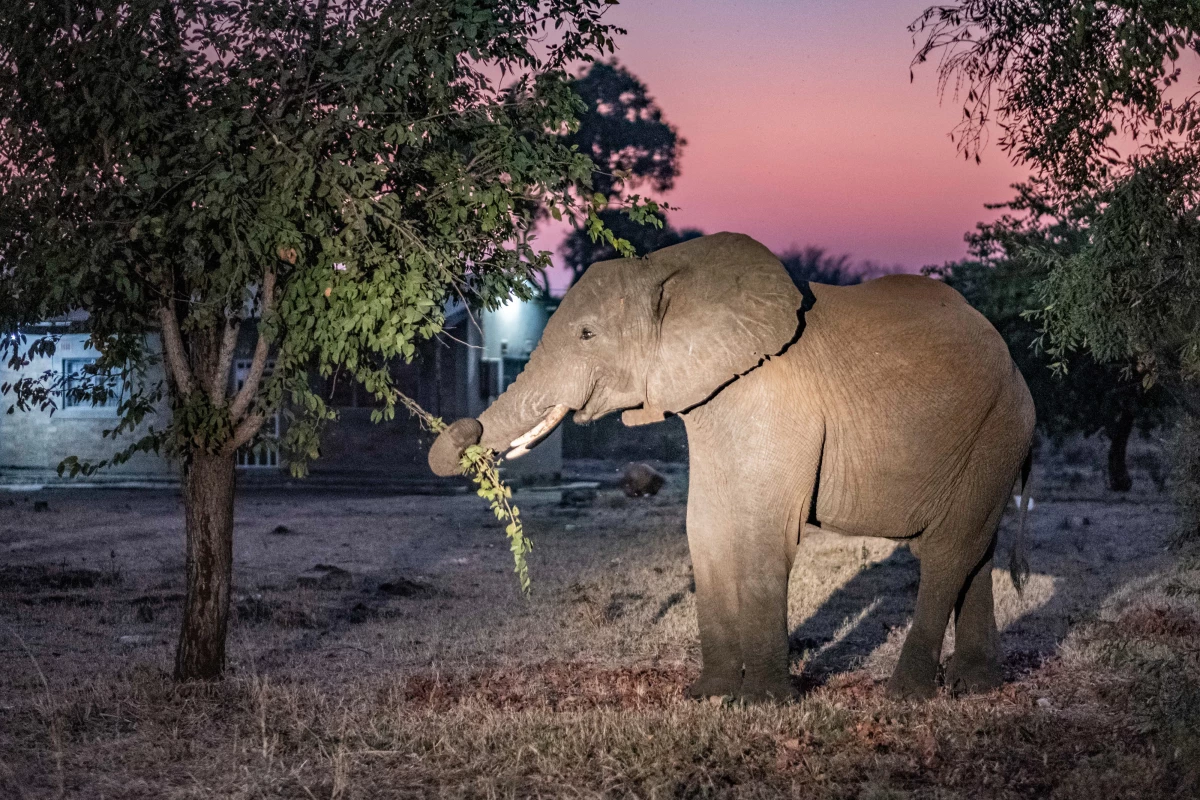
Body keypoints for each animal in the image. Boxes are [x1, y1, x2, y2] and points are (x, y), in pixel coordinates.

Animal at [429, 232, 1035, 702]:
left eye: (586, 334)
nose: (465, 431)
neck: (666, 269)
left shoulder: (772, 397)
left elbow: (765, 533)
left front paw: (761, 703)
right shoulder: (713, 402)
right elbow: (705, 528)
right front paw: (708, 696)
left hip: (998, 427)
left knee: (947, 552)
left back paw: (905, 694)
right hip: (992, 437)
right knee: (975, 552)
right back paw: (974, 686)